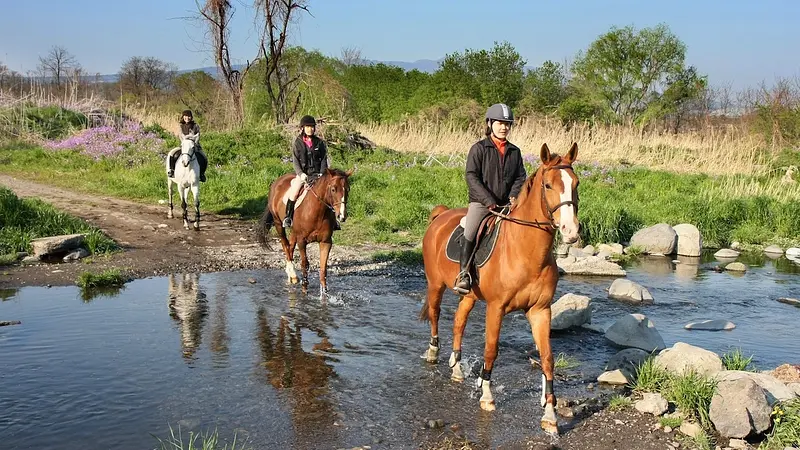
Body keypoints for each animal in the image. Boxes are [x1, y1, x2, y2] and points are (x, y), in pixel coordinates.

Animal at [418, 142, 580, 435]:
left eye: (576, 183)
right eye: (548, 185)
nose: (571, 230)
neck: (526, 253)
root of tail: (441, 215)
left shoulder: (540, 311)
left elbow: (547, 358)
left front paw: (550, 415)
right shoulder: (496, 308)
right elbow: (491, 349)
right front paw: (486, 395)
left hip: (469, 296)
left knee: (458, 322)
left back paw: (456, 368)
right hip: (435, 285)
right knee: (435, 315)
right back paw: (434, 352)